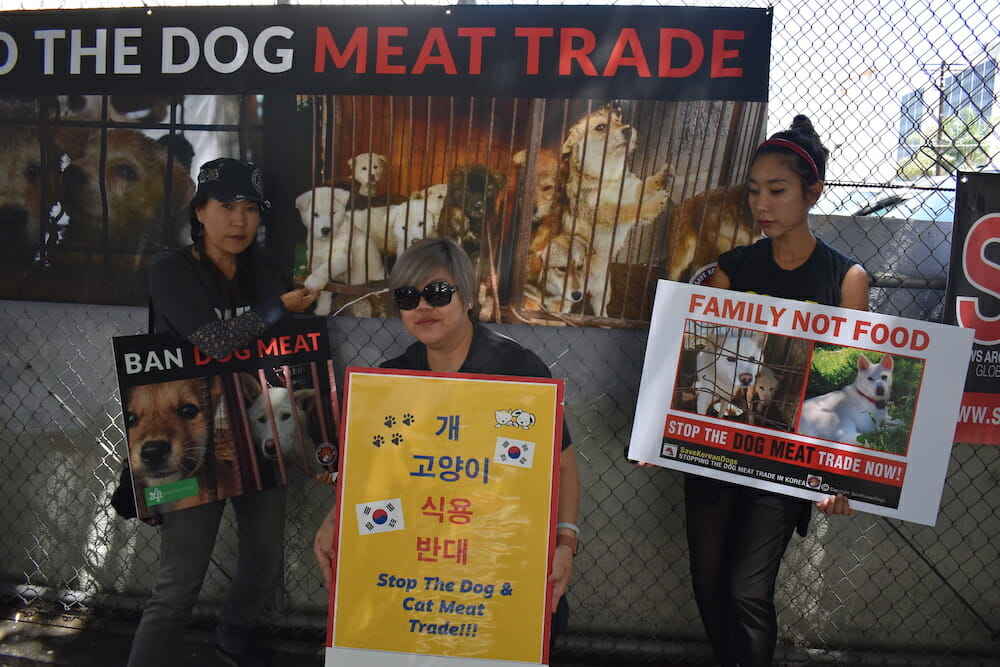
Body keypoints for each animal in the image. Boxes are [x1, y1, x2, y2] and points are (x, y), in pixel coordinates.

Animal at [564, 103, 672, 318]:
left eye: (619, 121)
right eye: (600, 127)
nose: (628, 130)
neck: (610, 176)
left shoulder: (631, 190)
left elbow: (645, 185)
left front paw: (661, 176)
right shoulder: (606, 212)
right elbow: (631, 209)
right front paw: (656, 203)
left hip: (604, 290)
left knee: (600, 311)